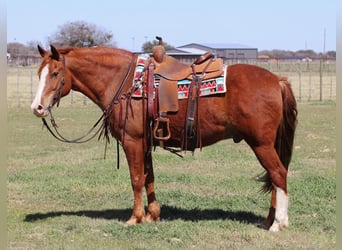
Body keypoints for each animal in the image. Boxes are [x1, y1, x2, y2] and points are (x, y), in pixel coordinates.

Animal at [30, 44, 296, 231]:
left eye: (55, 73)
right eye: (39, 73)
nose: (37, 108)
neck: (124, 80)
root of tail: (276, 80)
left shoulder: (132, 140)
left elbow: (136, 178)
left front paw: (135, 218)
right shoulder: (145, 142)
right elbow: (149, 177)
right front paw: (152, 215)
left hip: (261, 144)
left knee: (278, 174)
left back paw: (278, 223)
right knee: (275, 177)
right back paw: (268, 220)